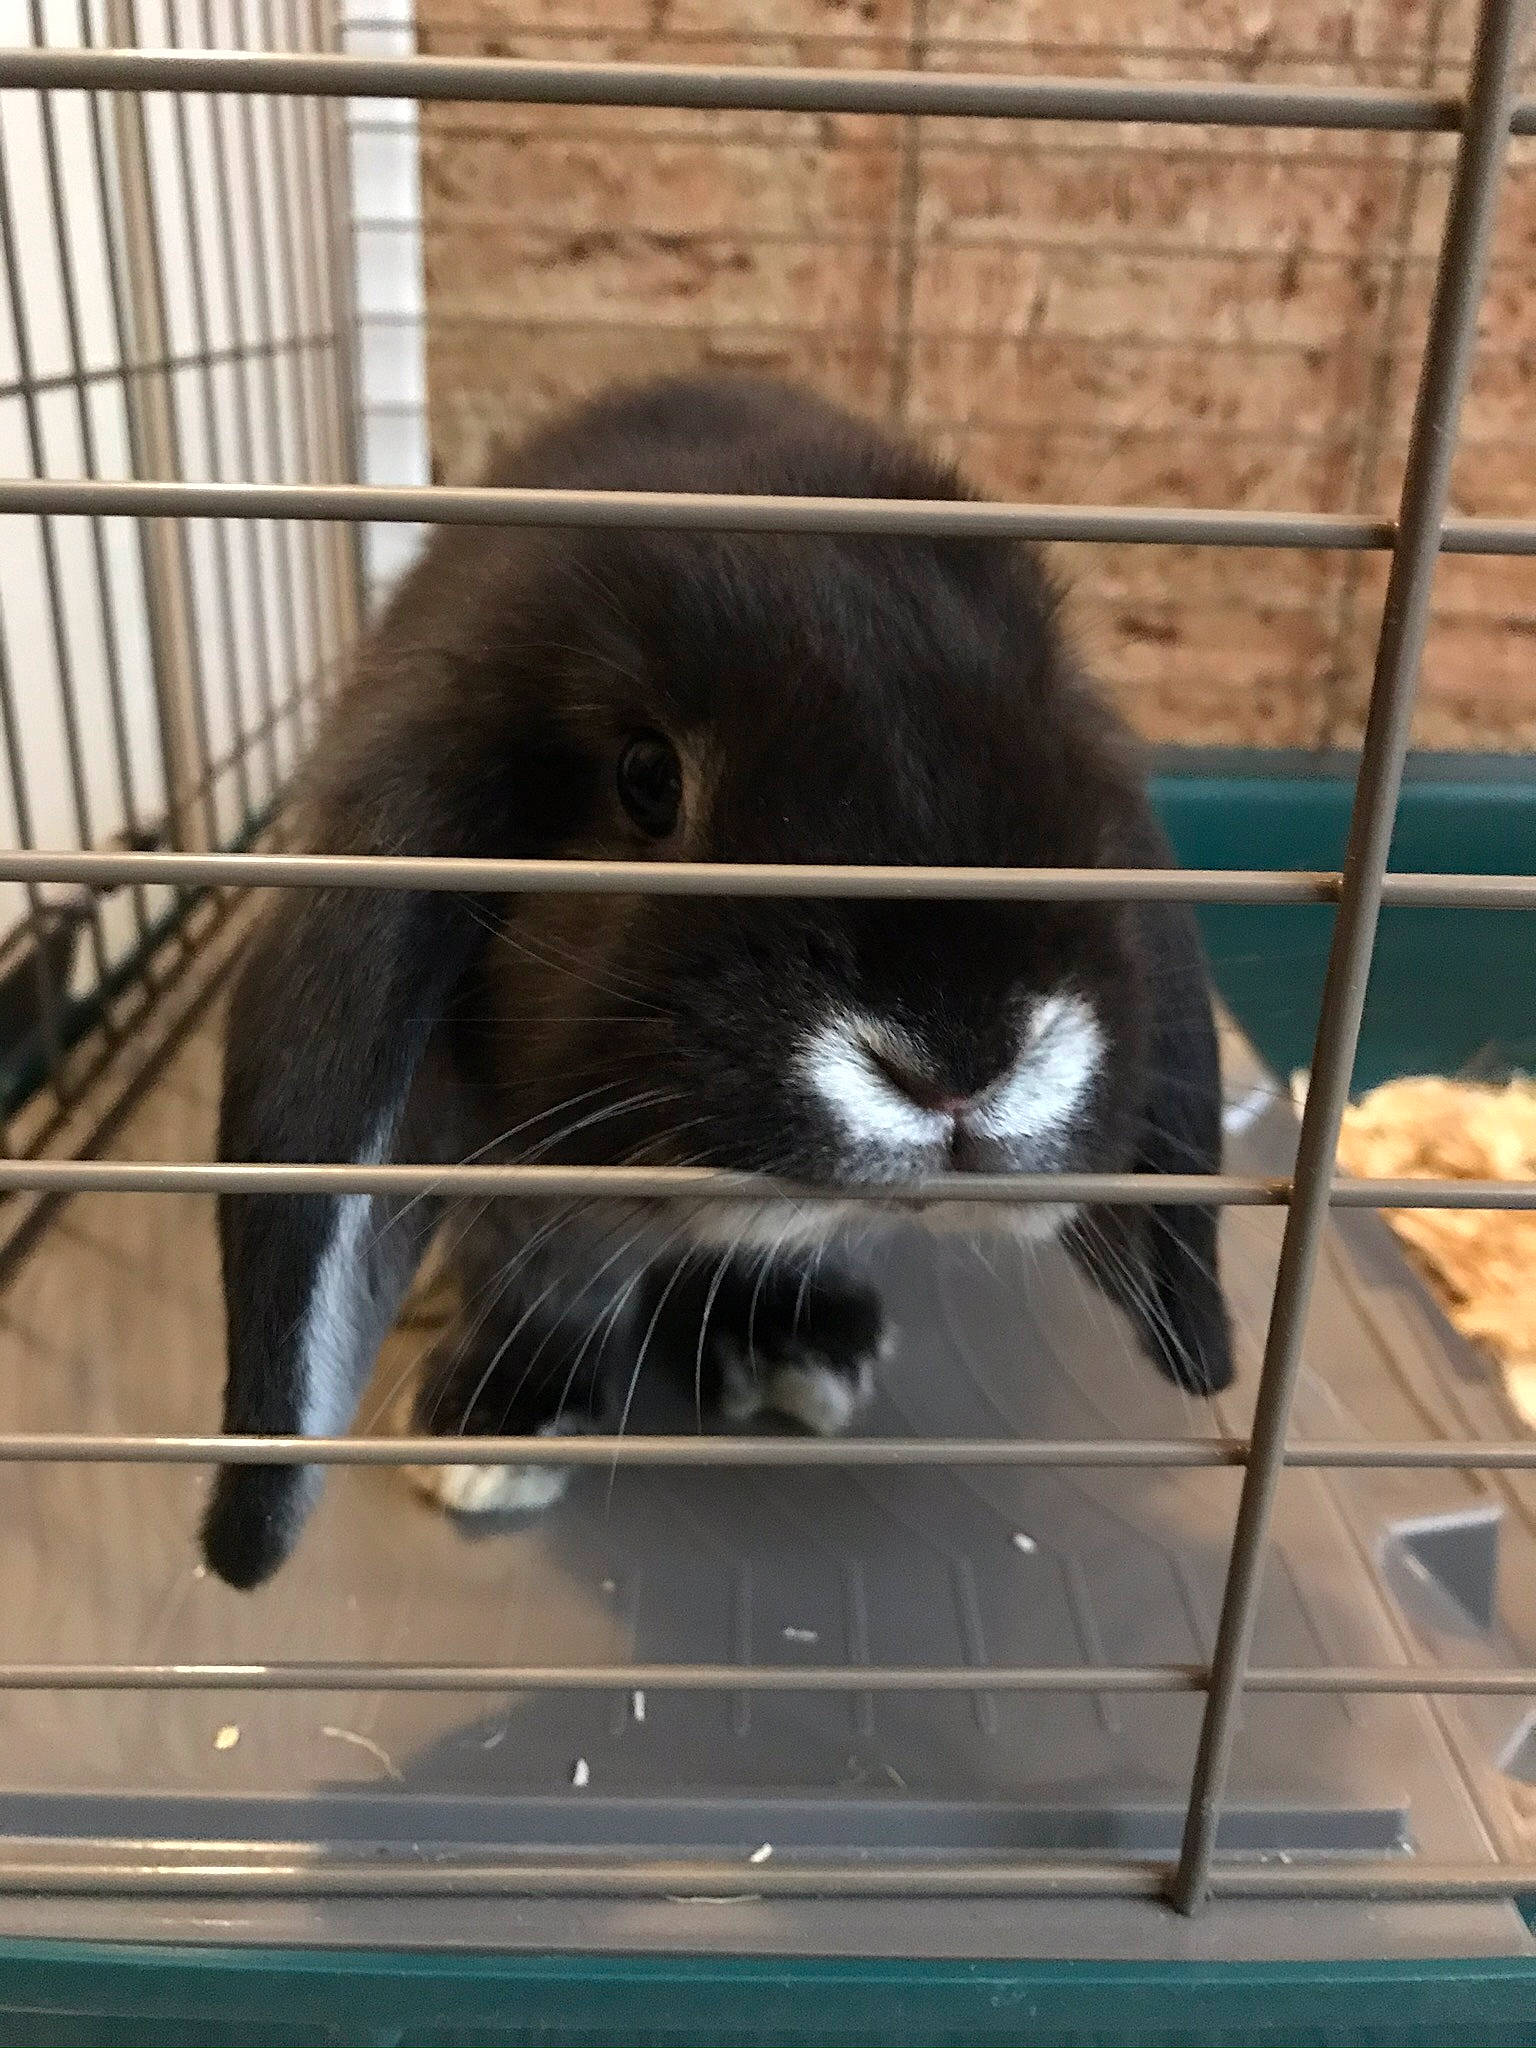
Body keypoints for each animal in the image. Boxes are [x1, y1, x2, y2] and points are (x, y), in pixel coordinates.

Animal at [201, 373, 1233, 1590]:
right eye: (647, 779)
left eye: (1056, 752)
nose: (959, 1059)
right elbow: (544, 1276)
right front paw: (499, 1425)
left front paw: (795, 1337)